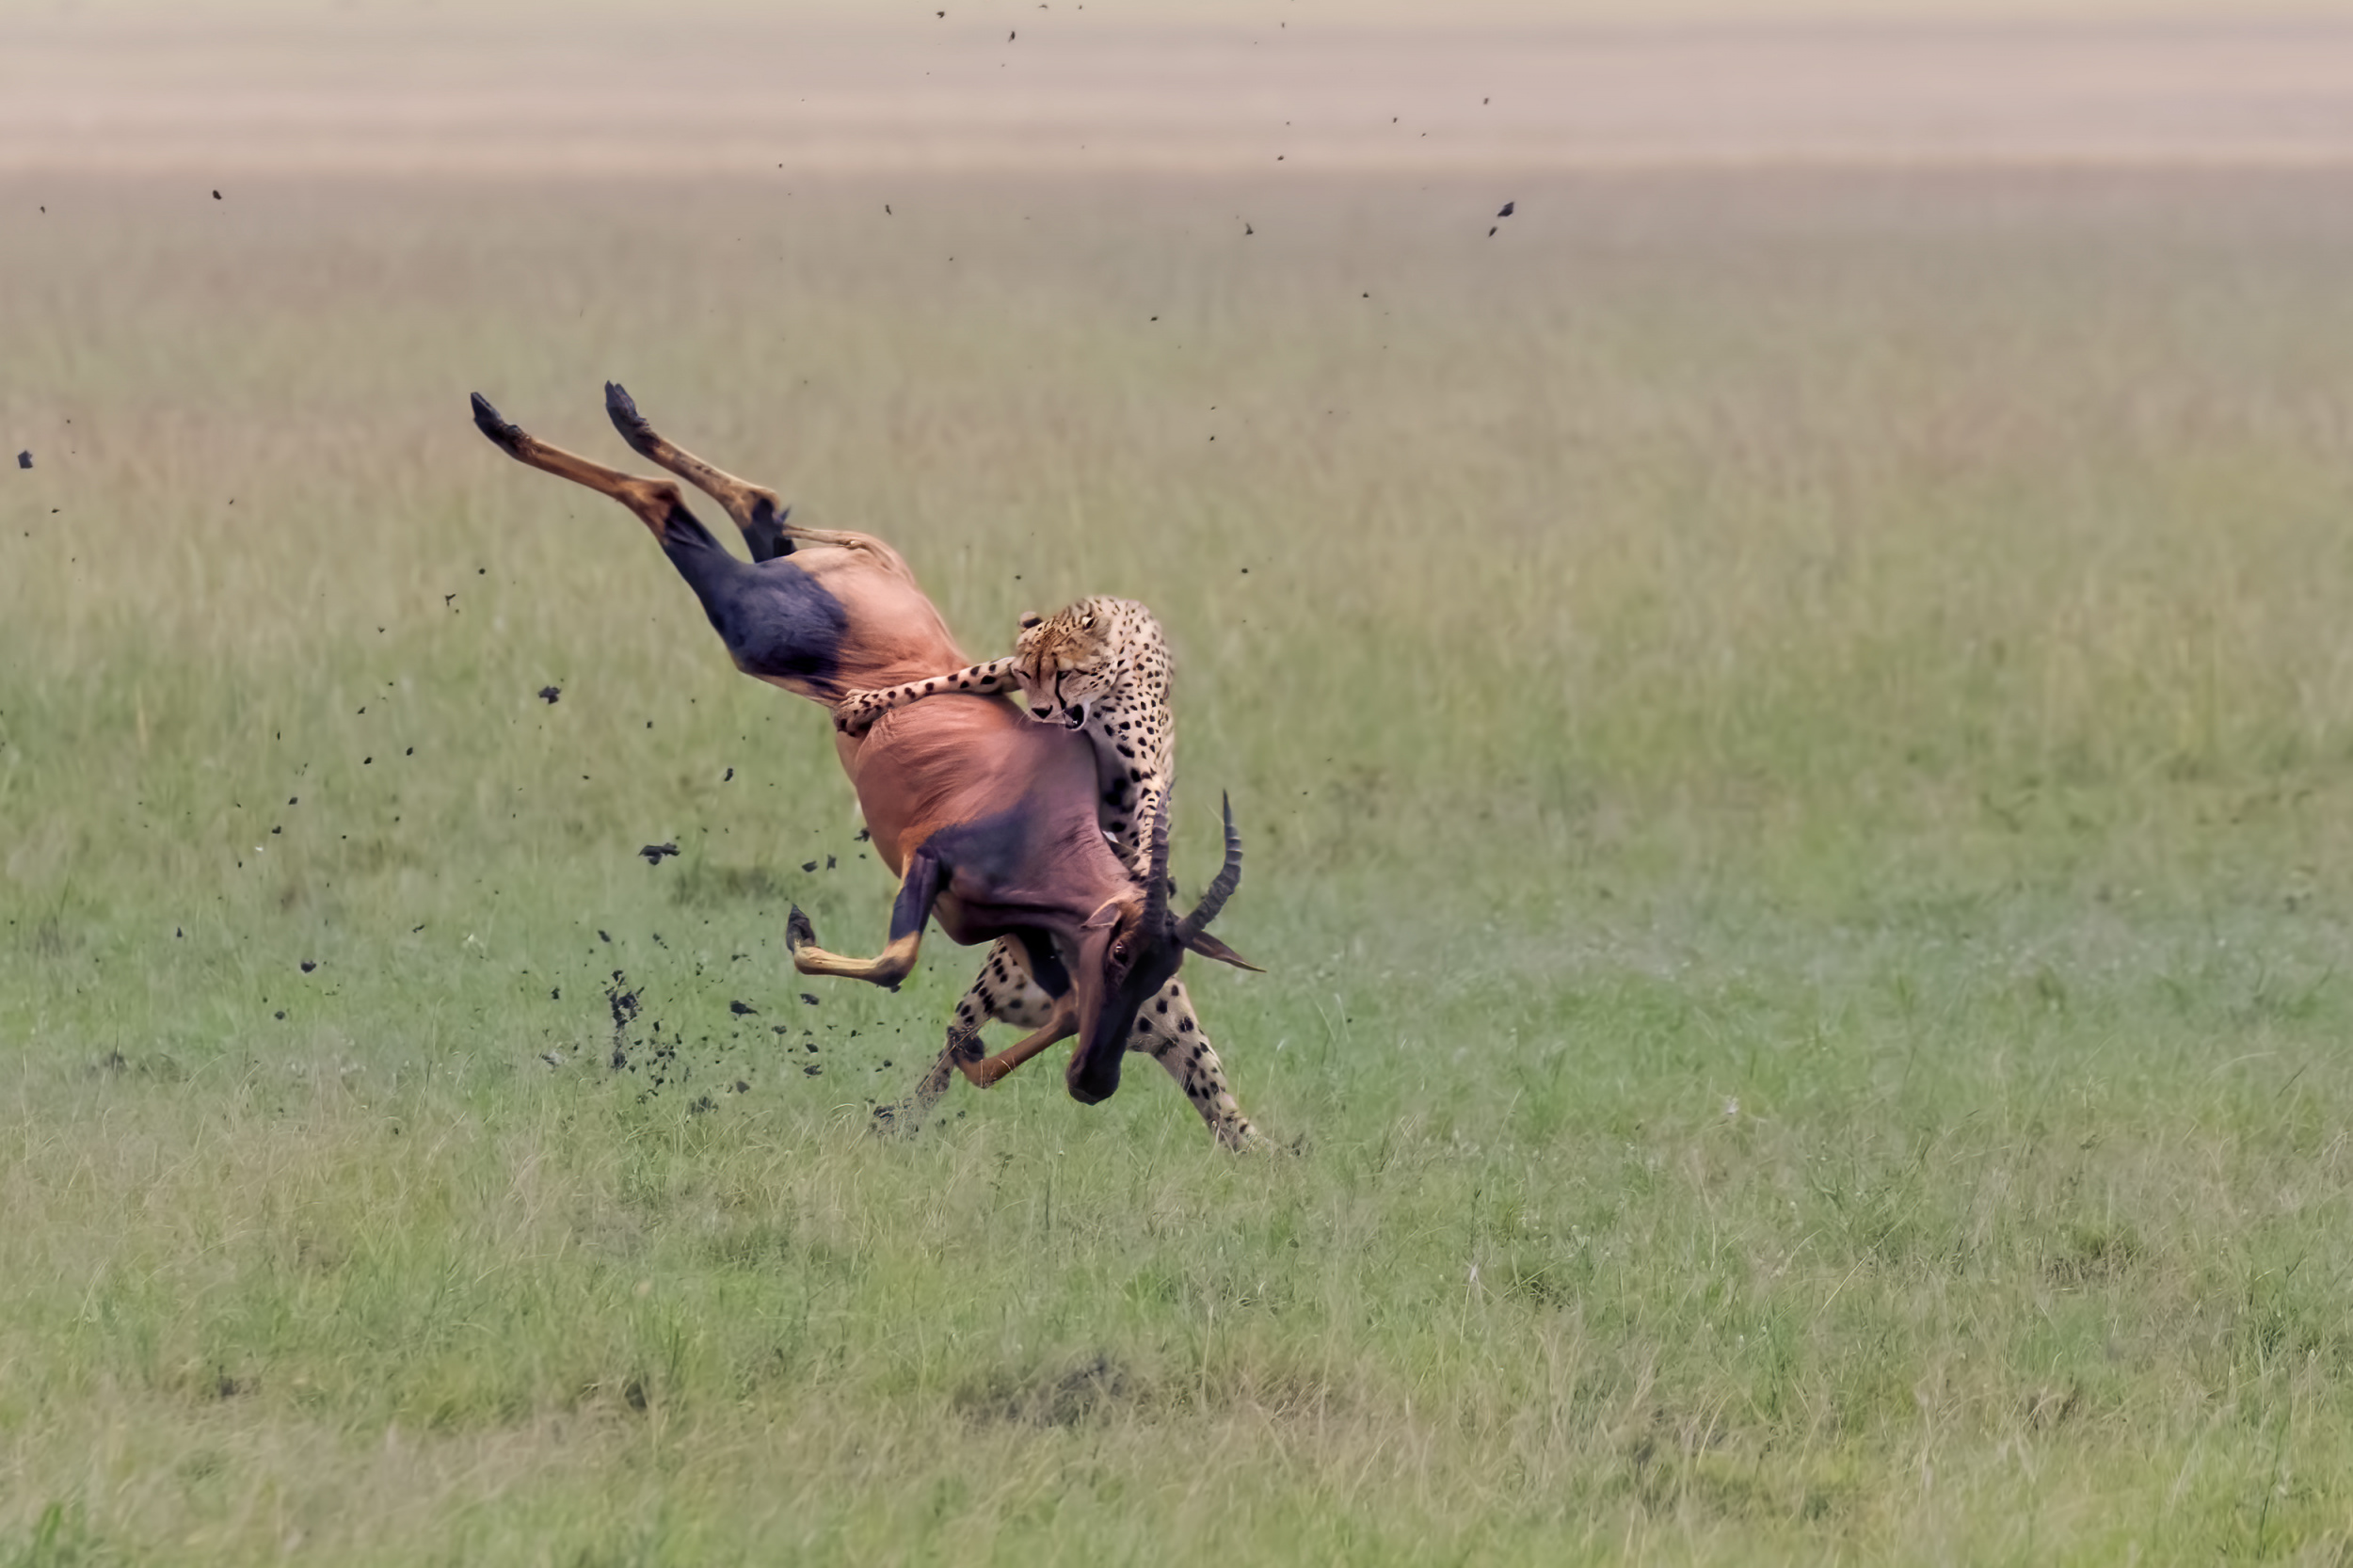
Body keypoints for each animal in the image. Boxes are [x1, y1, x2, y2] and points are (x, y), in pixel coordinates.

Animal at [468, 385, 1261, 1145]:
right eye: (1123, 955)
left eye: (1166, 968)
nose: (1095, 1083)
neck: (1049, 817)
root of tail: (869, 569)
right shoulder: (927, 862)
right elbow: (897, 961)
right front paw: (798, 930)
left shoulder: (1026, 933)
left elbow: (1051, 1007)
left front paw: (971, 1060)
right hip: (753, 627)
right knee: (665, 503)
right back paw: (507, 425)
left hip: (777, 590)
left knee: (756, 511)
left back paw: (600, 417)